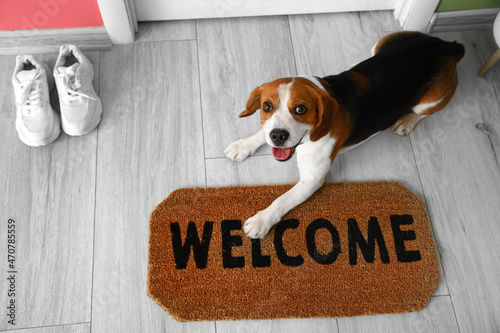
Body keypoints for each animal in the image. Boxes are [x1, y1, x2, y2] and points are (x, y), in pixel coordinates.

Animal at [225, 31, 462, 239]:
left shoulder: (312, 179)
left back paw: (406, 121)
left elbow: (282, 199)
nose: (278, 136)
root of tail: (447, 46)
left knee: (422, 113)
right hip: (380, 44)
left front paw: (261, 220)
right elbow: (260, 133)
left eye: (300, 109)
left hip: (429, 102)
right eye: (266, 106)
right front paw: (243, 146)